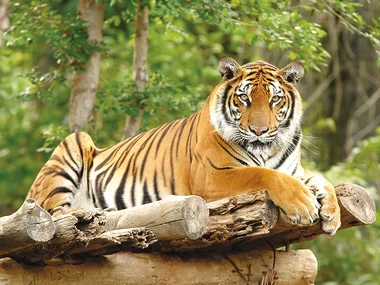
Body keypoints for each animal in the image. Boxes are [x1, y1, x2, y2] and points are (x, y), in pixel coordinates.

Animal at [27, 56, 342, 233]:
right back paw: (88, 213)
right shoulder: (211, 176)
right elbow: (261, 174)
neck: (267, 150)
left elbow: (322, 180)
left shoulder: (295, 171)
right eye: (245, 98)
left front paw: (332, 213)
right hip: (74, 144)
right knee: (54, 214)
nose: (259, 130)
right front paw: (303, 205)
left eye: (275, 99)